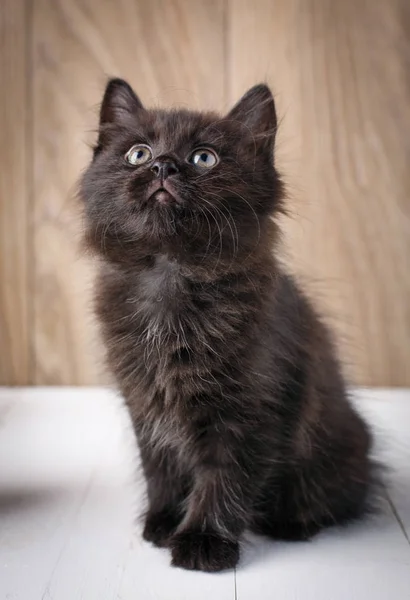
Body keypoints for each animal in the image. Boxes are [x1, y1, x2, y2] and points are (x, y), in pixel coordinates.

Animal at [80, 78, 378, 572]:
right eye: (138, 153)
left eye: (204, 158)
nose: (163, 165)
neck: (171, 272)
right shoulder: (146, 398)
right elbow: (160, 465)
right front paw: (165, 522)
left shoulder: (249, 409)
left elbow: (225, 478)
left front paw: (202, 540)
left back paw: (293, 523)